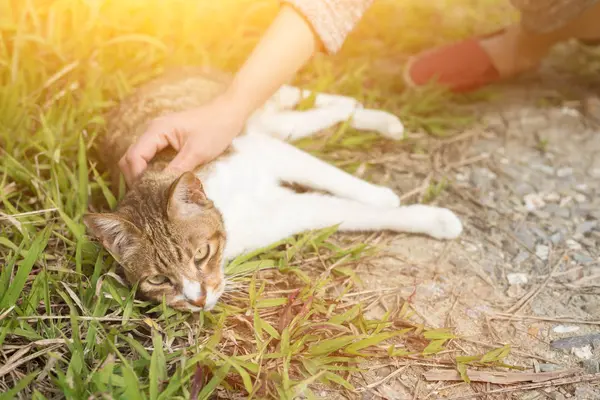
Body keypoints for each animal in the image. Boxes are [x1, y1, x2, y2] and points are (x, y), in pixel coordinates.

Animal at [82, 67, 462, 312]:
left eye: (201, 254)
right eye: (159, 280)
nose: (197, 300)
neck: (231, 209)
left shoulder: (262, 151)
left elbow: (332, 178)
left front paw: (382, 195)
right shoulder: (289, 211)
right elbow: (353, 213)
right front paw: (427, 219)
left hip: (256, 123)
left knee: (305, 105)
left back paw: (361, 110)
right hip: (271, 127)